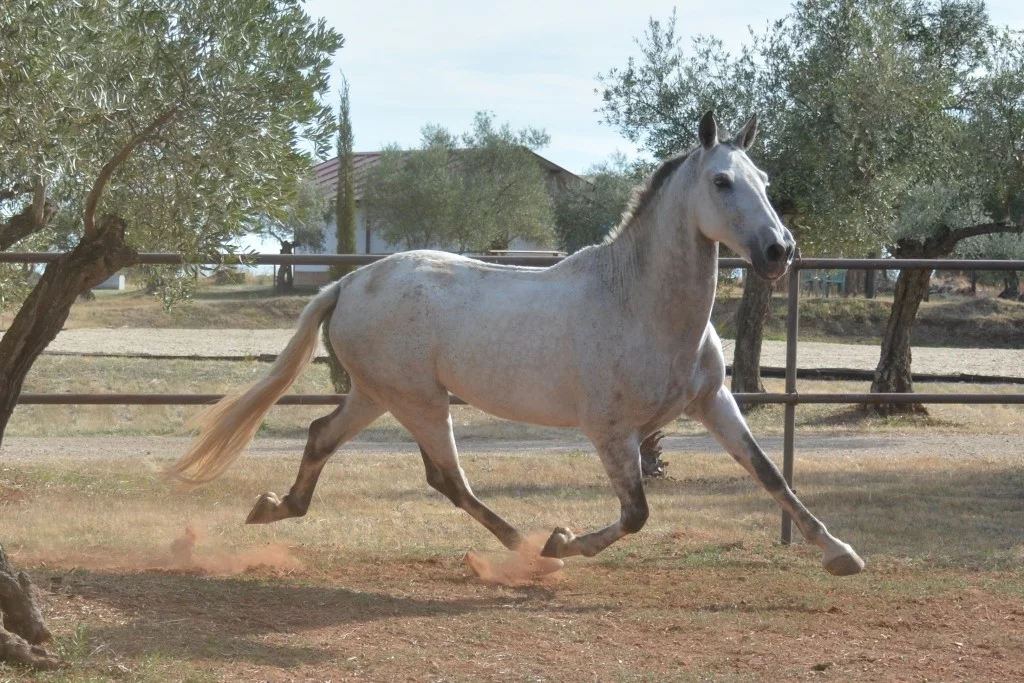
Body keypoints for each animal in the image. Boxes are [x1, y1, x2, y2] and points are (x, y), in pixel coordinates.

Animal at [167, 111, 864, 577]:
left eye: (764, 178)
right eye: (721, 182)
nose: (779, 251)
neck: (639, 305)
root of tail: (347, 283)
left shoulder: (714, 402)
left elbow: (770, 473)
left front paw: (842, 554)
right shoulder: (611, 432)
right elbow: (636, 513)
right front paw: (562, 541)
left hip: (378, 394)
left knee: (322, 437)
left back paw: (271, 507)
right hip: (419, 401)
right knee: (446, 478)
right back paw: (530, 553)